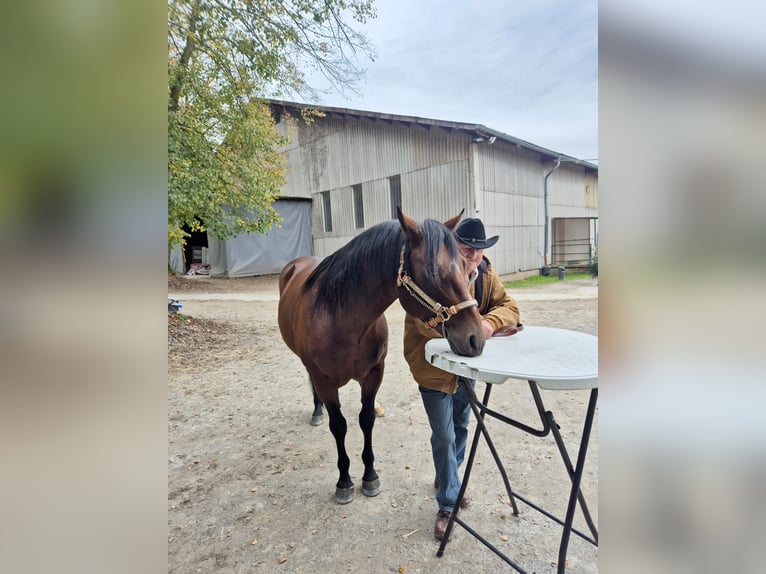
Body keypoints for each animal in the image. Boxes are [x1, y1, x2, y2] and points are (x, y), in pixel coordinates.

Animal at [280, 208, 488, 504]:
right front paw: (344, 482)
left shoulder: (373, 374)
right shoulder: (326, 381)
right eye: (433, 271)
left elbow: (366, 420)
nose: (475, 338)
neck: (341, 320)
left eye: (463, 263)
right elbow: (339, 425)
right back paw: (317, 410)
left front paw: (370, 477)